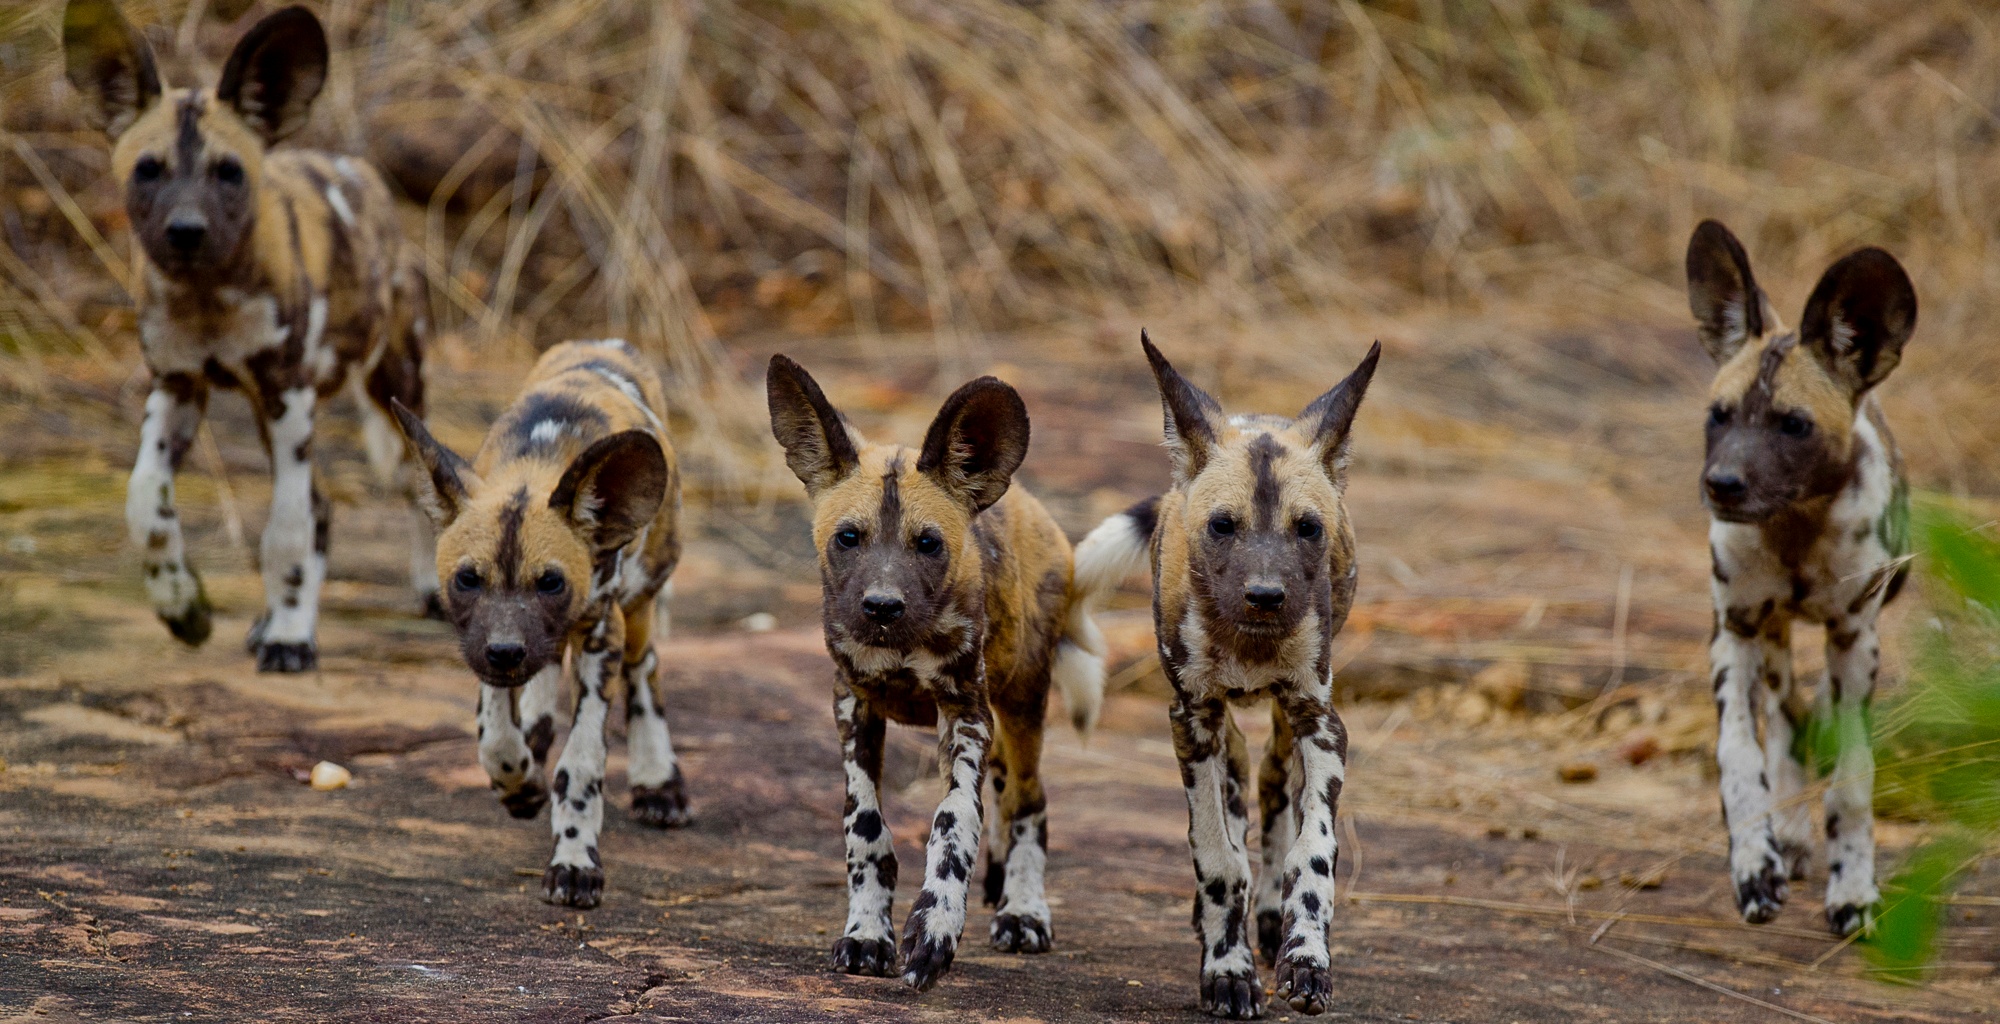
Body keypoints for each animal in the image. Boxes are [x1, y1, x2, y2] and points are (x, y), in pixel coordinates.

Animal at [63, 2, 434, 672]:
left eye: (229, 173)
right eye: (148, 170)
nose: (186, 230)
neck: (208, 297)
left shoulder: (286, 395)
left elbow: (284, 529)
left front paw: (289, 638)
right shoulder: (177, 389)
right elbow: (145, 501)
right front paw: (183, 607)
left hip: (393, 387)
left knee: (405, 488)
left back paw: (425, 592)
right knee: (322, 505)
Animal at [388, 340, 688, 908]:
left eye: (551, 582)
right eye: (468, 579)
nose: (507, 652)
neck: (537, 463)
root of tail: (606, 344)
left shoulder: (601, 633)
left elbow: (581, 765)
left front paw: (575, 862)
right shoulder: (481, 644)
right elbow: (495, 740)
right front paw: (519, 783)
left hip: (638, 604)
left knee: (644, 668)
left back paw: (658, 781)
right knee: (544, 677)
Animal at [764, 358, 1128, 992]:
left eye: (928, 544)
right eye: (848, 538)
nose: (882, 606)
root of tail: (1030, 503)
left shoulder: (964, 713)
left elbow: (955, 820)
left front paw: (935, 928)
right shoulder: (852, 703)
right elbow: (865, 827)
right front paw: (867, 934)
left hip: (1022, 706)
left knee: (1029, 801)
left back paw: (1023, 912)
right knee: (1006, 792)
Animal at [1080, 334, 1376, 1016]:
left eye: (1308, 528)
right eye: (1222, 525)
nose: (1266, 596)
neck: (1250, 643)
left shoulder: (1320, 720)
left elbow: (1312, 851)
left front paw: (1306, 959)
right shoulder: (1192, 718)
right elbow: (1216, 856)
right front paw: (1227, 968)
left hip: (1285, 718)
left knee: (1269, 785)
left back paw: (1268, 915)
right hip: (1215, 723)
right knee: (1236, 789)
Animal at [1688, 222, 1920, 936]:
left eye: (1793, 425)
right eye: (1719, 415)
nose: (1722, 484)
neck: (1794, 530)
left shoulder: (1853, 638)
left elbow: (1852, 779)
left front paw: (1854, 890)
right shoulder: (1733, 631)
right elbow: (1739, 759)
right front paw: (1754, 865)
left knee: (1811, 715)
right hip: (1768, 639)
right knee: (1786, 715)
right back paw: (1785, 835)